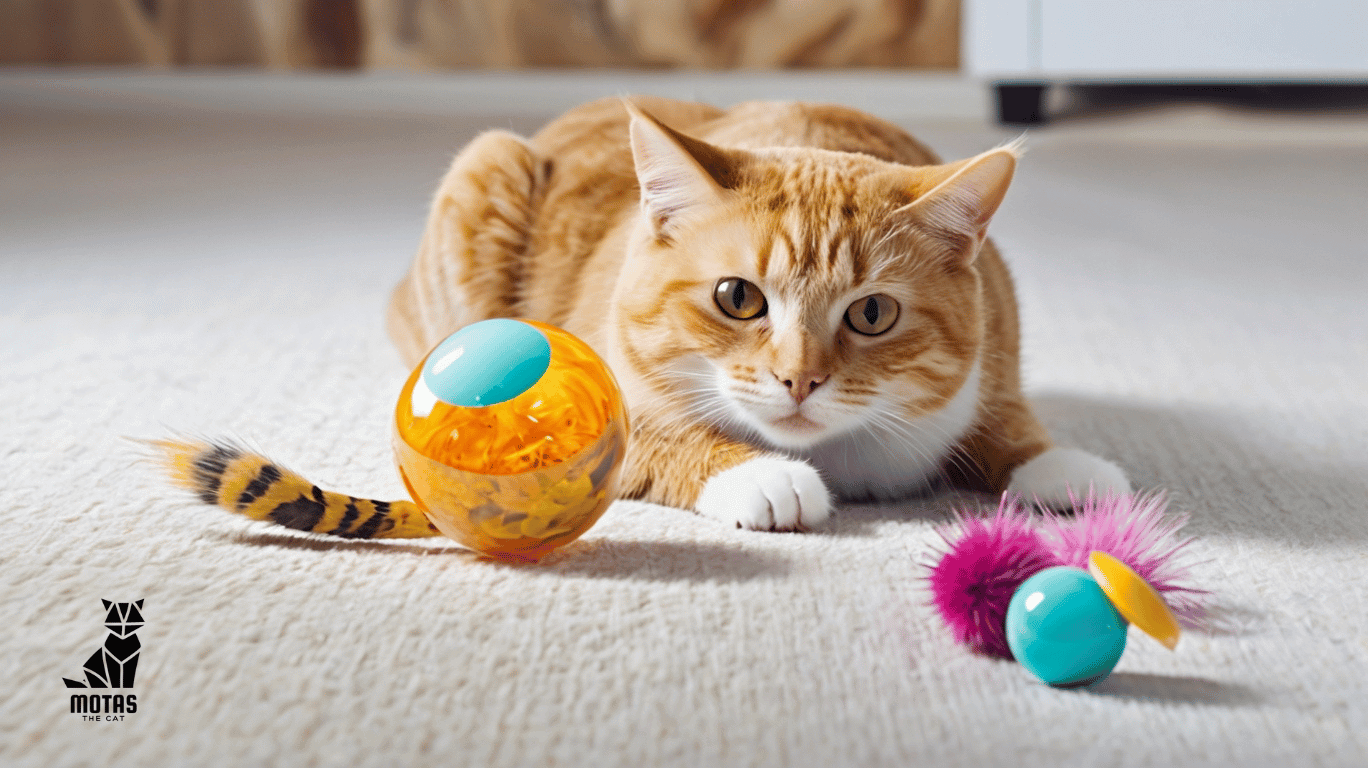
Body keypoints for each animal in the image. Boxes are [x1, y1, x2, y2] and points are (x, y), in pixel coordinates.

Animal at [380, 95, 1127, 531]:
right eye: (738, 298)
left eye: (873, 313)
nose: (799, 379)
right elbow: (661, 441)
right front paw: (762, 475)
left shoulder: (996, 340)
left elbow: (1007, 418)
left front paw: (1059, 466)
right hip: (487, 167)